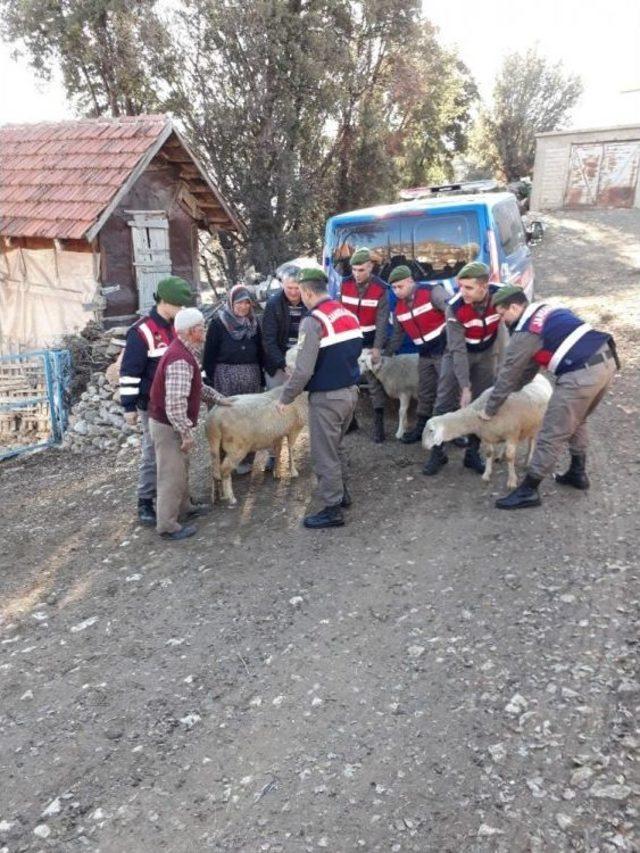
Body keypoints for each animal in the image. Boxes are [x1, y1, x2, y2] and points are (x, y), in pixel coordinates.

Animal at [422, 376, 552, 490]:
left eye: (431, 431)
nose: (424, 446)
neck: (478, 415)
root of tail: (541, 376)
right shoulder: (488, 436)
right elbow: (489, 453)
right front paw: (486, 474)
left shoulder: (512, 435)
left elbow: (510, 457)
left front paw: (512, 481)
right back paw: (500, 456)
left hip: (537, 424)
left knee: (532, 441)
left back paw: (528, 461)